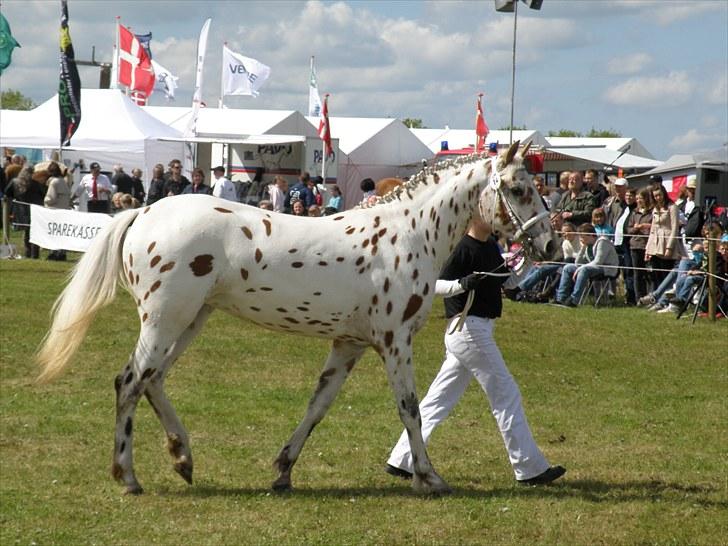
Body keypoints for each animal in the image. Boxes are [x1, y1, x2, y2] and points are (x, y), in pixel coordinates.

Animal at [37, 139, 560, 492]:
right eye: (518, 188)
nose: (551, 245)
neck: (408, 234)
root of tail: (144, 213)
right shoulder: (394, 342)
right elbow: (410, 408)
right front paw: (429, 477)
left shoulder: (349, 344)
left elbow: (318, 406)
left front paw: (283, 470)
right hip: (165, 319)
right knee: (129, 382)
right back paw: (128, 476)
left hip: (190, 319)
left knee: (153, 380)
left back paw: (183, 458)